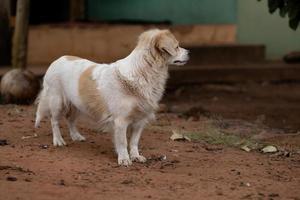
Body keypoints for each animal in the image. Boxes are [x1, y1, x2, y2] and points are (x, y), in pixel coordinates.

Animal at [35, 28, 189, 166]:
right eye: (176, 46)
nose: (189, 52)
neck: (142, 72)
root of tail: (58, 59)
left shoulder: (140, 121)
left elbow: (134, 142)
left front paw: (135, 156)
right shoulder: (120, 121)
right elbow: (123, 142)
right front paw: (124, 159)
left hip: (78, 104)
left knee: (70, 120)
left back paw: (76, 136)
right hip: (57, 102)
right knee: (54, 121)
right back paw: (58, 140)